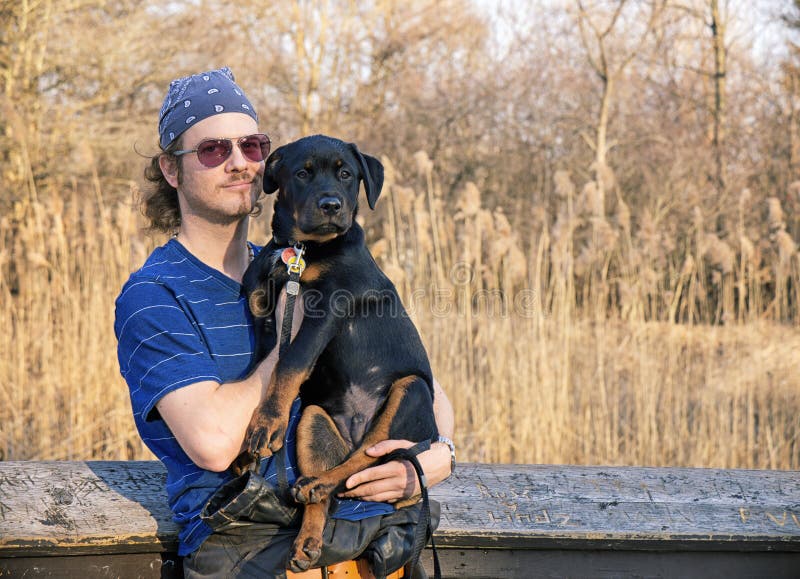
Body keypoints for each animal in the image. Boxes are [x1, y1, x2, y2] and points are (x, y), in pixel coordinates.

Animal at [241, 136, 438, 576]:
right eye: (302, 173)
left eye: (346, 174)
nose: (331, 205)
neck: (302, 248)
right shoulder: (262, 303)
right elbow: (260, 362)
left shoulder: (327, 306)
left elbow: (290, 362)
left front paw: (266, 422)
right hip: (313, 421)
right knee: (336, 485)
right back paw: (308, 539)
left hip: (411, 391)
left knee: (364, 460)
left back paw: (320, 485)